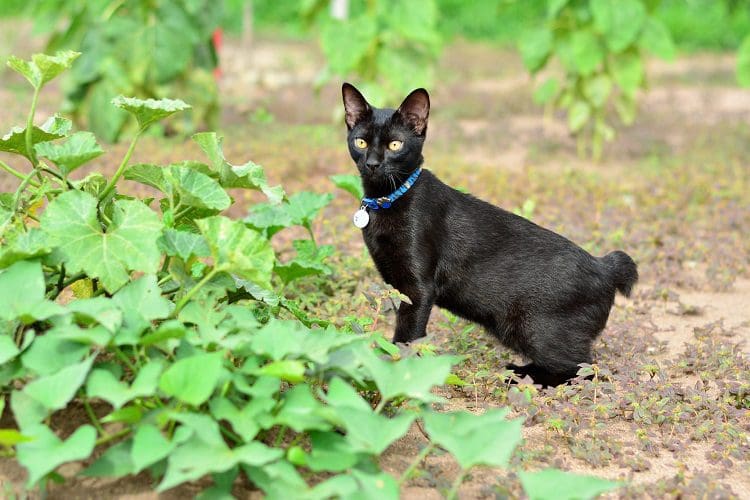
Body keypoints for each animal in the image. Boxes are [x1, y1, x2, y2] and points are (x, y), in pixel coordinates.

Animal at [344, 83, 636, 386]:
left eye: (395, 145)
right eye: (361, 143)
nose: (373, 164)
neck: (387, 200)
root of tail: (606, 267)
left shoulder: (418, 288)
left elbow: (407, 338)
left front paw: (395, 373)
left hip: (532, 327)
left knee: (582, 368)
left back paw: (519, 374)